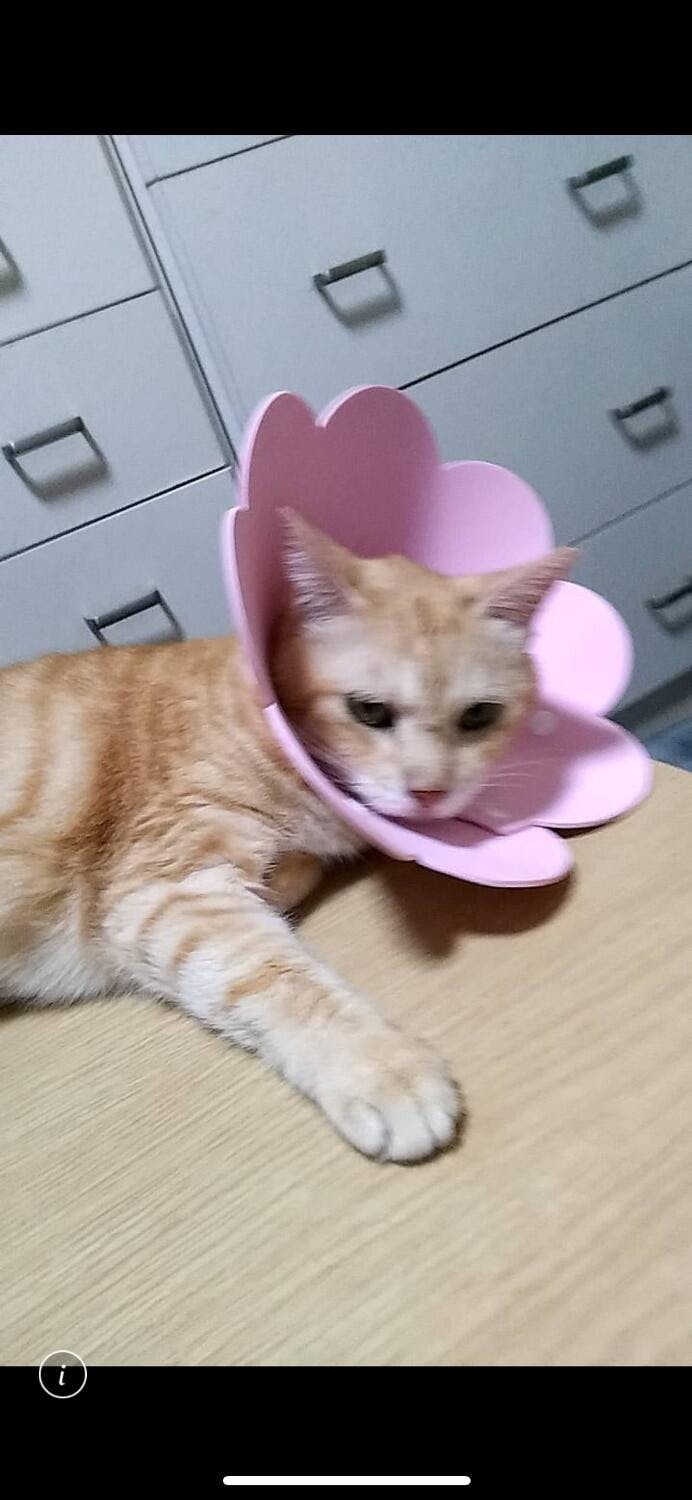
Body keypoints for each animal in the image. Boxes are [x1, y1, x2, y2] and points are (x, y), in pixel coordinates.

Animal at [0, 512, 574, 1162]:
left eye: (478, 717)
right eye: (369, 711)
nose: (429, 792)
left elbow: (293, 874)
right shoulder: (164, 889)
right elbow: (277, 977)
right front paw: (385, 1070)